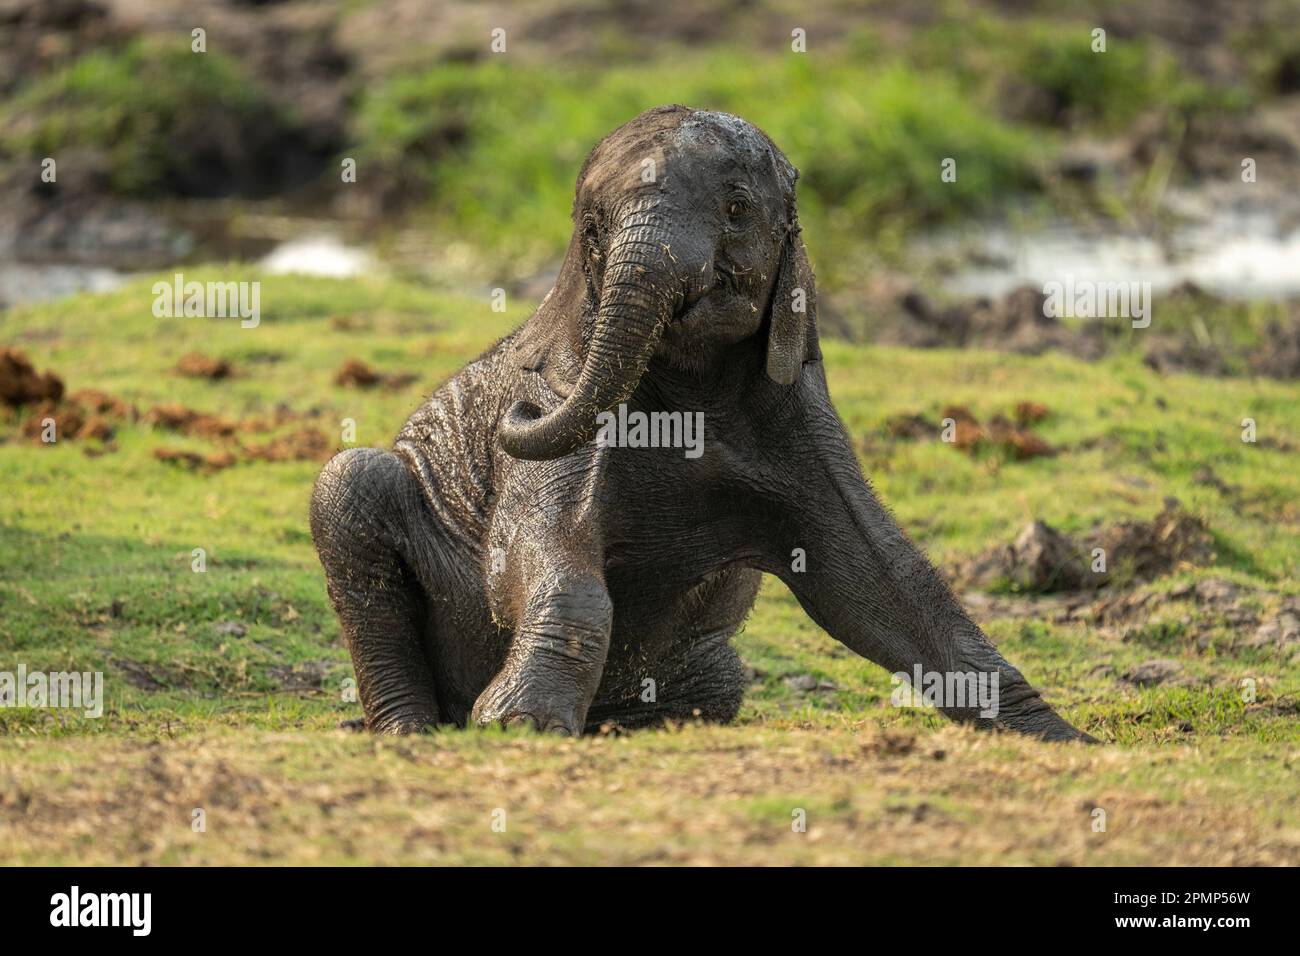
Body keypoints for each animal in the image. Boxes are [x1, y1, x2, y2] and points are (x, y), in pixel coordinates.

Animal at [309, 108, 1092, 743]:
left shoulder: (801, 416)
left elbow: (878, 579)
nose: (522, 409)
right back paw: (410, 731)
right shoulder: (566, 396)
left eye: (737, 208)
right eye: (593, 229)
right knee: (349, 484)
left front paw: (1063, 739)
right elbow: (539, 558)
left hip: (709, 667)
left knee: (723, 684)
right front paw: (518, 726)